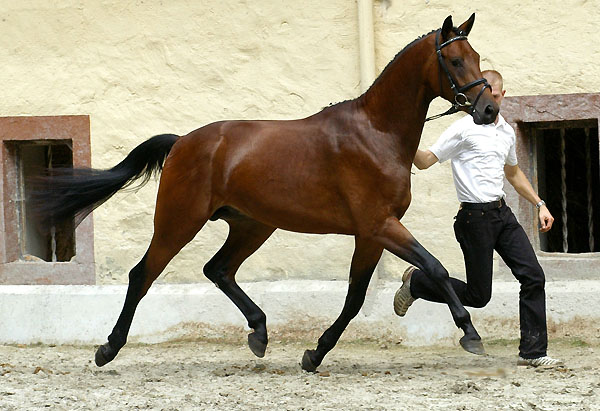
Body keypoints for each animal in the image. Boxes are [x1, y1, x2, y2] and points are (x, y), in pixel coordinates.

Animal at [35, 13, 500, 374]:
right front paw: (470, 332)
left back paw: (258, 332)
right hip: (179, 221)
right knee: (143, 274)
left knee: (218, 269)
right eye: (454, 60)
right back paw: (108, 348)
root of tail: (182, 141)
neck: (377, 133)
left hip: (253, 225)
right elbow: (435, 268)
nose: (489, 109)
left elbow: (355, 299)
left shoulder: (371, 235)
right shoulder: (380, 226)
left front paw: (314, 354)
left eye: (477, 58)